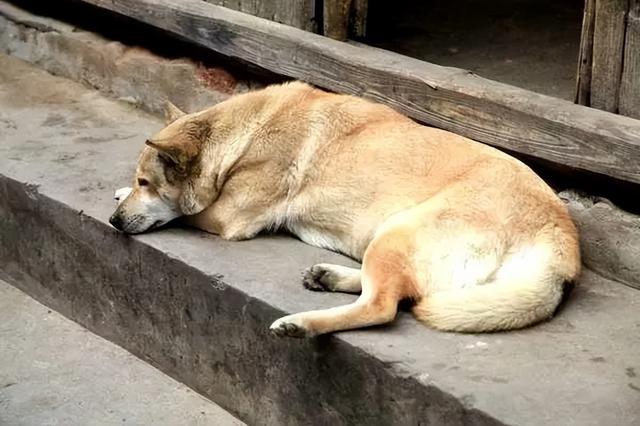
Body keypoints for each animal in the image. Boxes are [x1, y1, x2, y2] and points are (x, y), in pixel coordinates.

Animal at [109, 81, 580, 338]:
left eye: (147, 183)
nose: (113, 223)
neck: (242, 132)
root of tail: (559, 239)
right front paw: (117, 191)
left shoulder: (229, 217)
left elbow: (189, 210)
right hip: (390, 241)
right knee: (398, 291)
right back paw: (330, 277)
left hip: (398, 231)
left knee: (384, 306)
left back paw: (302, 324)